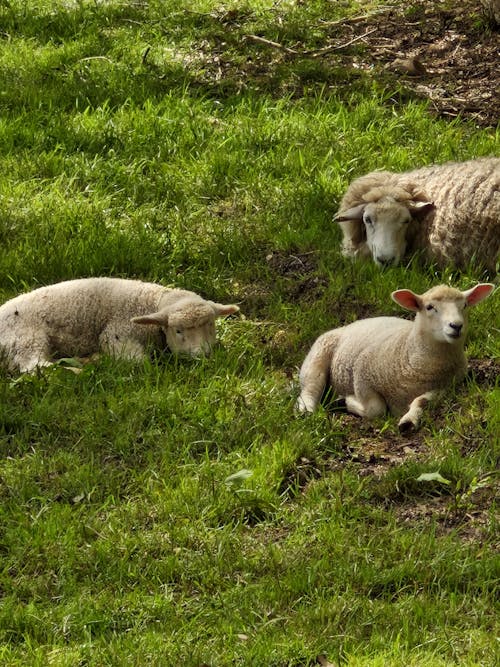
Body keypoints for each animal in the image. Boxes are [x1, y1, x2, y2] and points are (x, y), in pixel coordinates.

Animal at [0, 276, 240, 370]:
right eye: (178, 330)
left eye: (211, 325)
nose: (203, 354)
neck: (150, 302)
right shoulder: (117, 333)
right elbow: (140, 362)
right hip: (26, 339)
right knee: (37, 367)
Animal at [296, 284, 496, 434]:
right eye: (430, 307)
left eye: (464, 305)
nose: (456, 325)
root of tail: (352, 324)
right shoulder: (362, 375)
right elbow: (376, 409)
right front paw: (345, 402)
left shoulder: (445, 388)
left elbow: (422, 401)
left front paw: (409, 420)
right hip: (319, 354)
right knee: (310, 387)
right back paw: (306, 410)